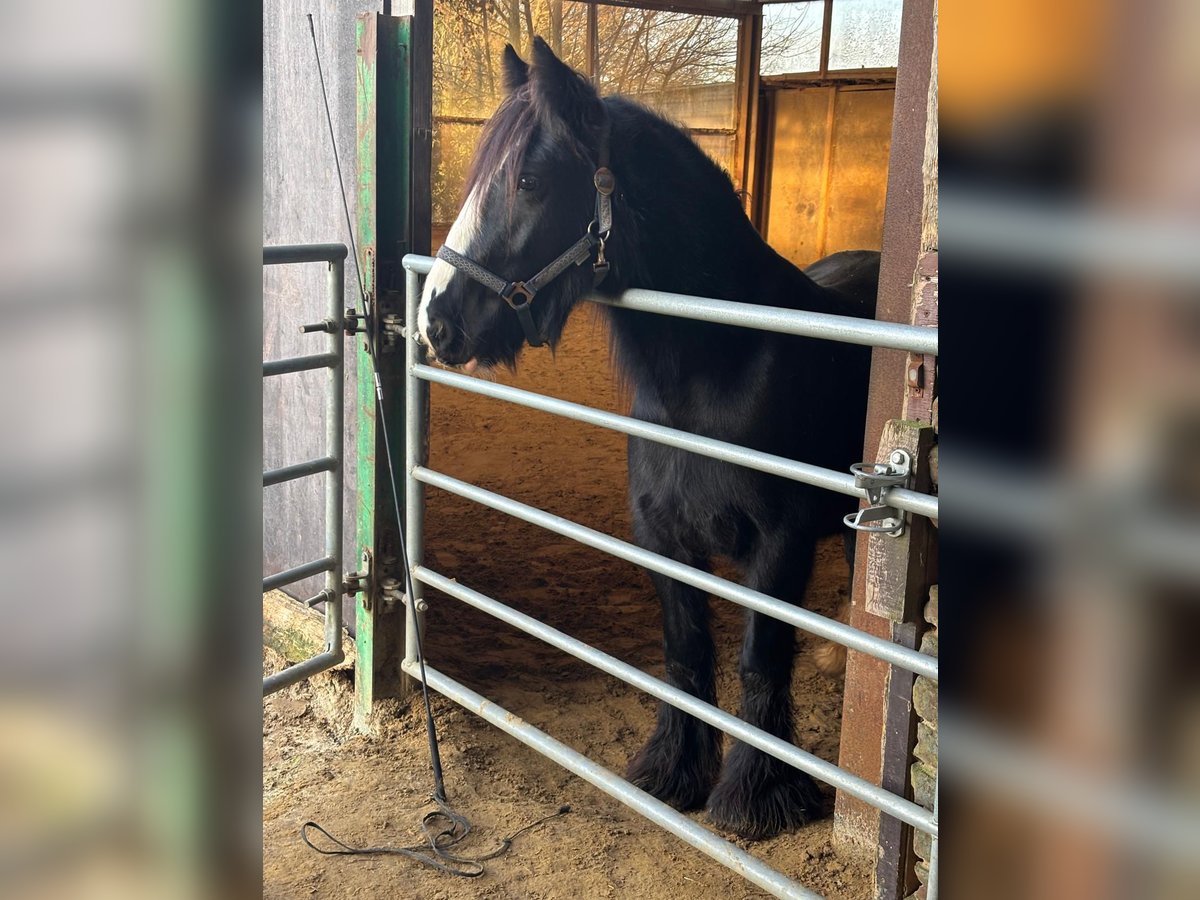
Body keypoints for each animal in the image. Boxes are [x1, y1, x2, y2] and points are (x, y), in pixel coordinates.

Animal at [417, 35, 878, 840]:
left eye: (529, 181)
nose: (436, 322)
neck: (722, 365)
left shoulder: (779, 544)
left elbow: (759, 659)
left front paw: (757, 796)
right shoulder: (661, 535)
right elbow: (685, 653)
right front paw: (674, 772)